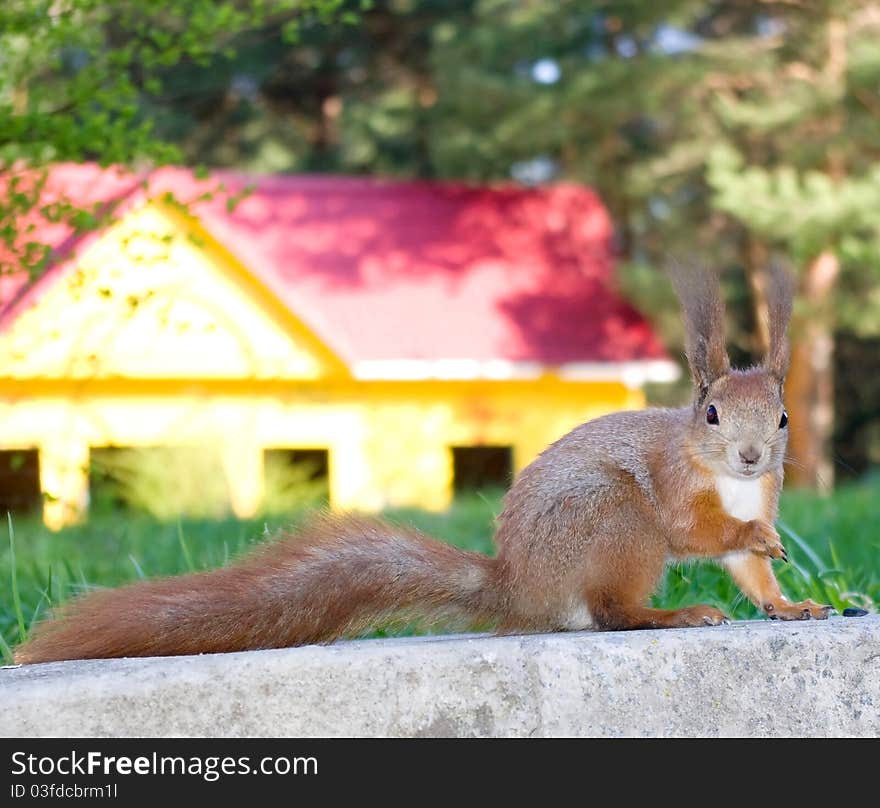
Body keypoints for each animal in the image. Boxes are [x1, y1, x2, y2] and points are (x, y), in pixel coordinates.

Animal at [12, 266, 832, 664]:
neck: (732, 483)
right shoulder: (672, 485)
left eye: (783, 418)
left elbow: (750, 575)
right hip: (614, 519)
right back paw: (672, 613)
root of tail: (519, 591)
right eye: (711, 415)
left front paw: (792, 603)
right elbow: (698, 533)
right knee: (610, 613)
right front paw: (754, 542)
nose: (753, 455)